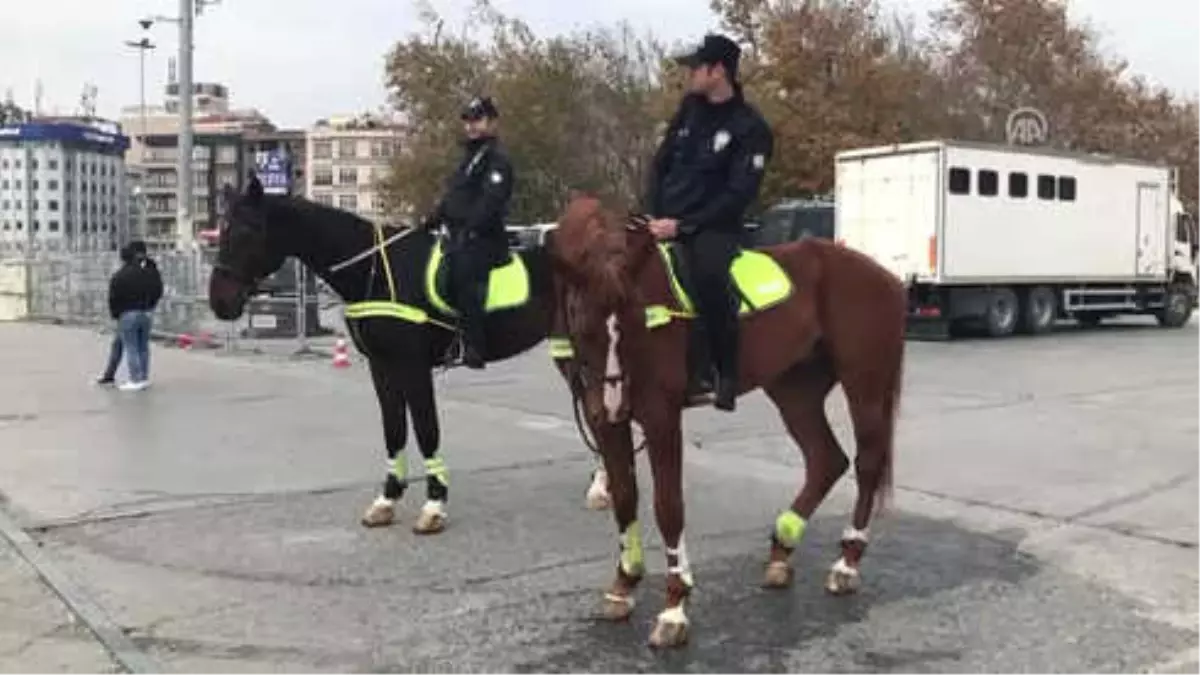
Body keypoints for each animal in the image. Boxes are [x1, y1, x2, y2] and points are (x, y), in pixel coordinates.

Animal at [208, 176, 609, 533]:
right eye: (221, 230)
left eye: (247, 231)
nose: (219, 302)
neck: (375, 272)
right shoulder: (382, 368)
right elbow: (394, 430)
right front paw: (386, 500)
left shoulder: (413, 367)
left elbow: (426, 430)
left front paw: (433, 506)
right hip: (568, 352)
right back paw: (600, 481)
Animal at [547, 193, 907, 648]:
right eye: (581, 324)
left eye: (634, 320)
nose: (611, 402)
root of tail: (886, 277)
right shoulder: (606, 423)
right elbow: (625, 497)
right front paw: (624, 585)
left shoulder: (660, 415)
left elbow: (668, 506)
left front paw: (674, 606)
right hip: (795, 390)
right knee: (826, 460)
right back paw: (782, 549)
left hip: (865, 384)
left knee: (867, 463)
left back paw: (847, 562)